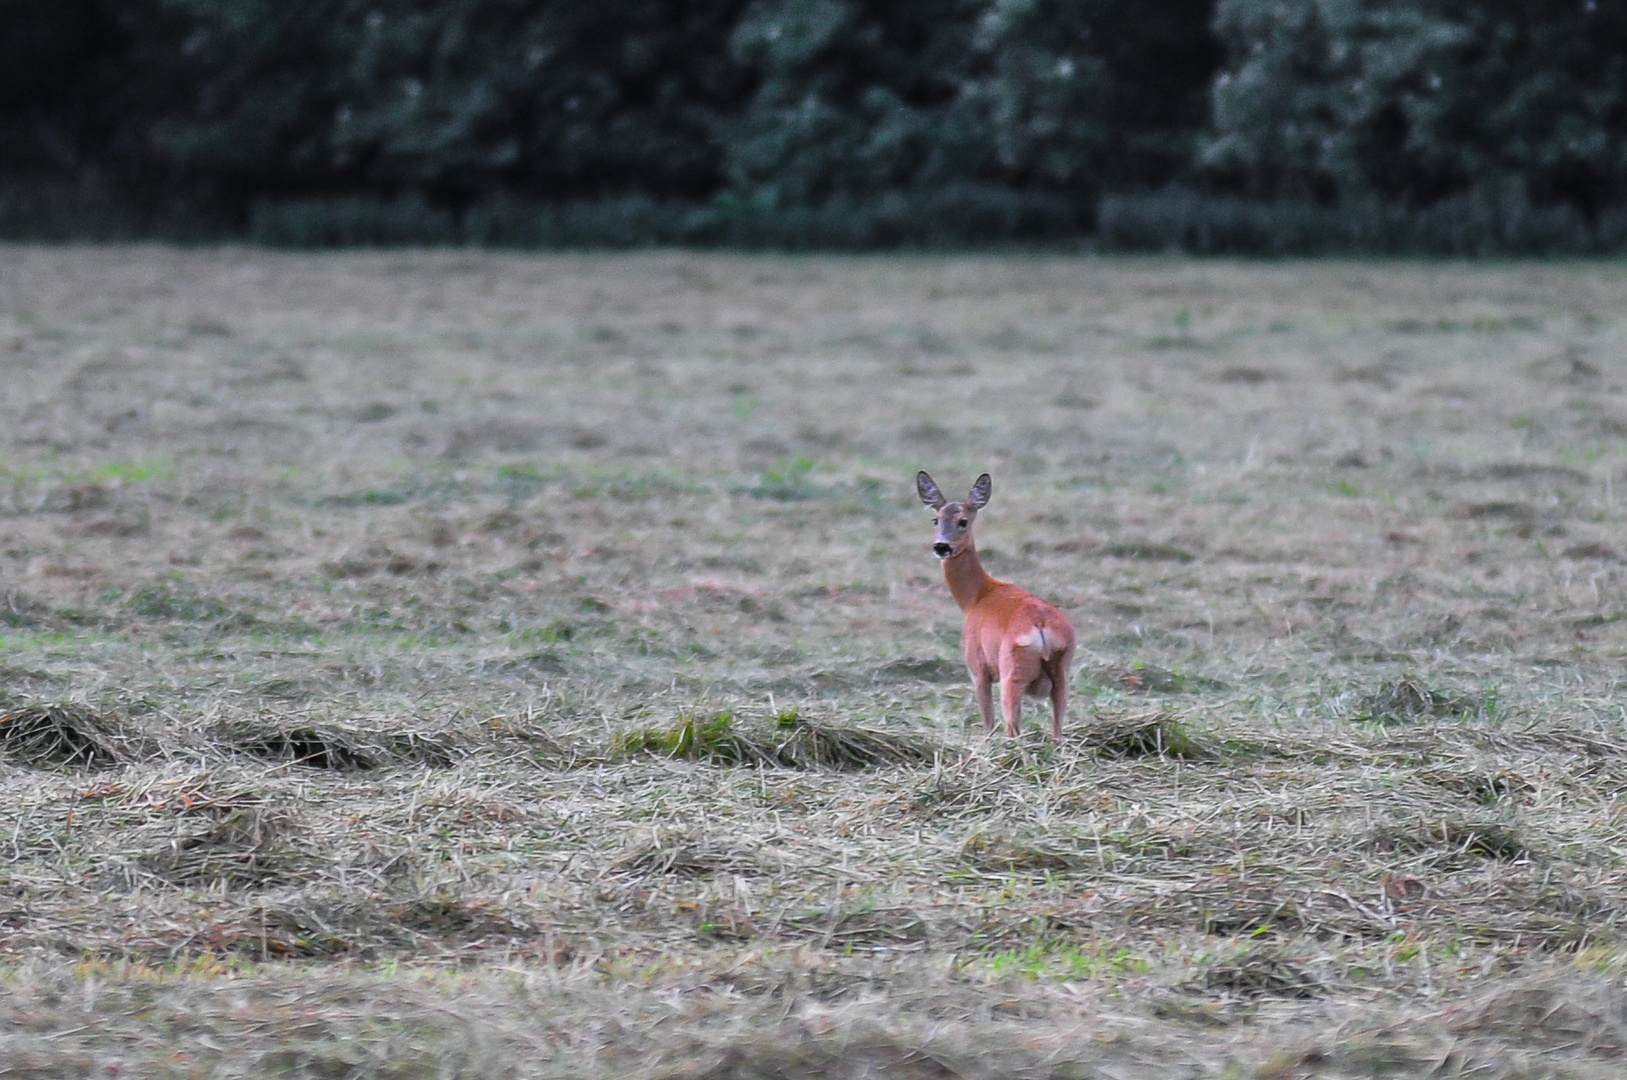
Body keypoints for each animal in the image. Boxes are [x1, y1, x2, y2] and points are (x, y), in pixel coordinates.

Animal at [917, 471, 1080, 741]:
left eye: (963, 521)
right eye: (935, 519)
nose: (941, 546)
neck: (976, 597)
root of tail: (1041, 626)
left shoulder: (978, 668)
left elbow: (988, 723)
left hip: (1011, 671)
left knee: (1011, 727)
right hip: (1062, 670)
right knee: (1057, 731)